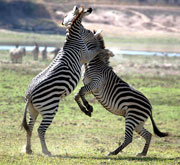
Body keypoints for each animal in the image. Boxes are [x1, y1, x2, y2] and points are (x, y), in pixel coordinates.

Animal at [21, 5, 105, 156]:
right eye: (88, 30)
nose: (90, 8)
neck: (72, 38)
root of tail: (29, 95)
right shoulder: (85, 55)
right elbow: (95, 50)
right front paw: (104, 49)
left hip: (32, 111)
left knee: (30, 128)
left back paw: (29, 149)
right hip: (50, 108)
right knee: (40, 129)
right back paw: (46, 151)